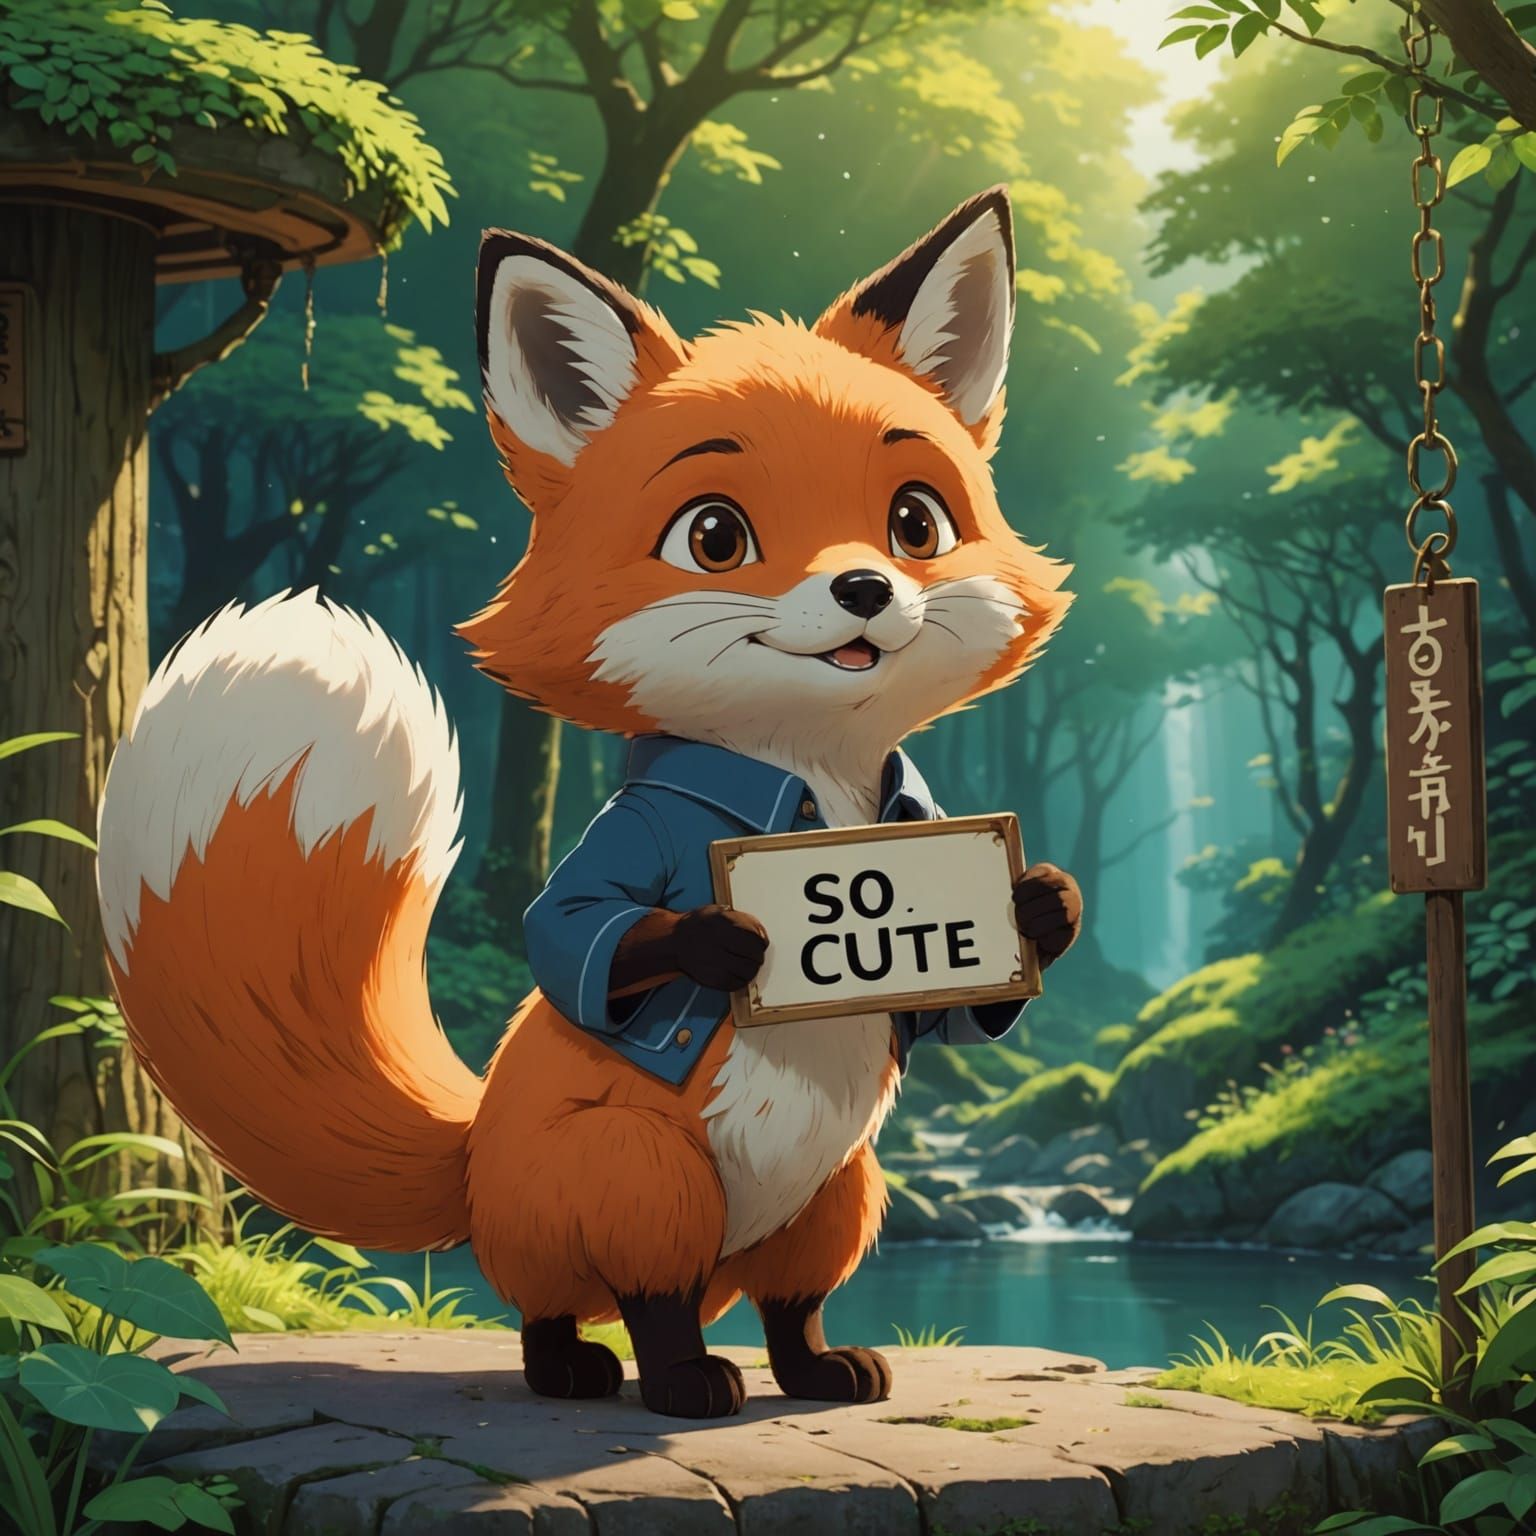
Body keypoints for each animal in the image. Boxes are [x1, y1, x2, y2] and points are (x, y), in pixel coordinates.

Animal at [95, 186, 1082, 1420]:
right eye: (715, 536)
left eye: (916, 523)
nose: (865, 587)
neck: (809, 773)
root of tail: (473, 1164)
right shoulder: (627, 845)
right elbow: (569, 929)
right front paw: (717, 940)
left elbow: (955, 1008)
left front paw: (1045, 907)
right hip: (643, 1173)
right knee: (608, 1303)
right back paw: (642, 1375)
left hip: (837, 1193)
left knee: (788, 1299)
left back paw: (818, 1368)